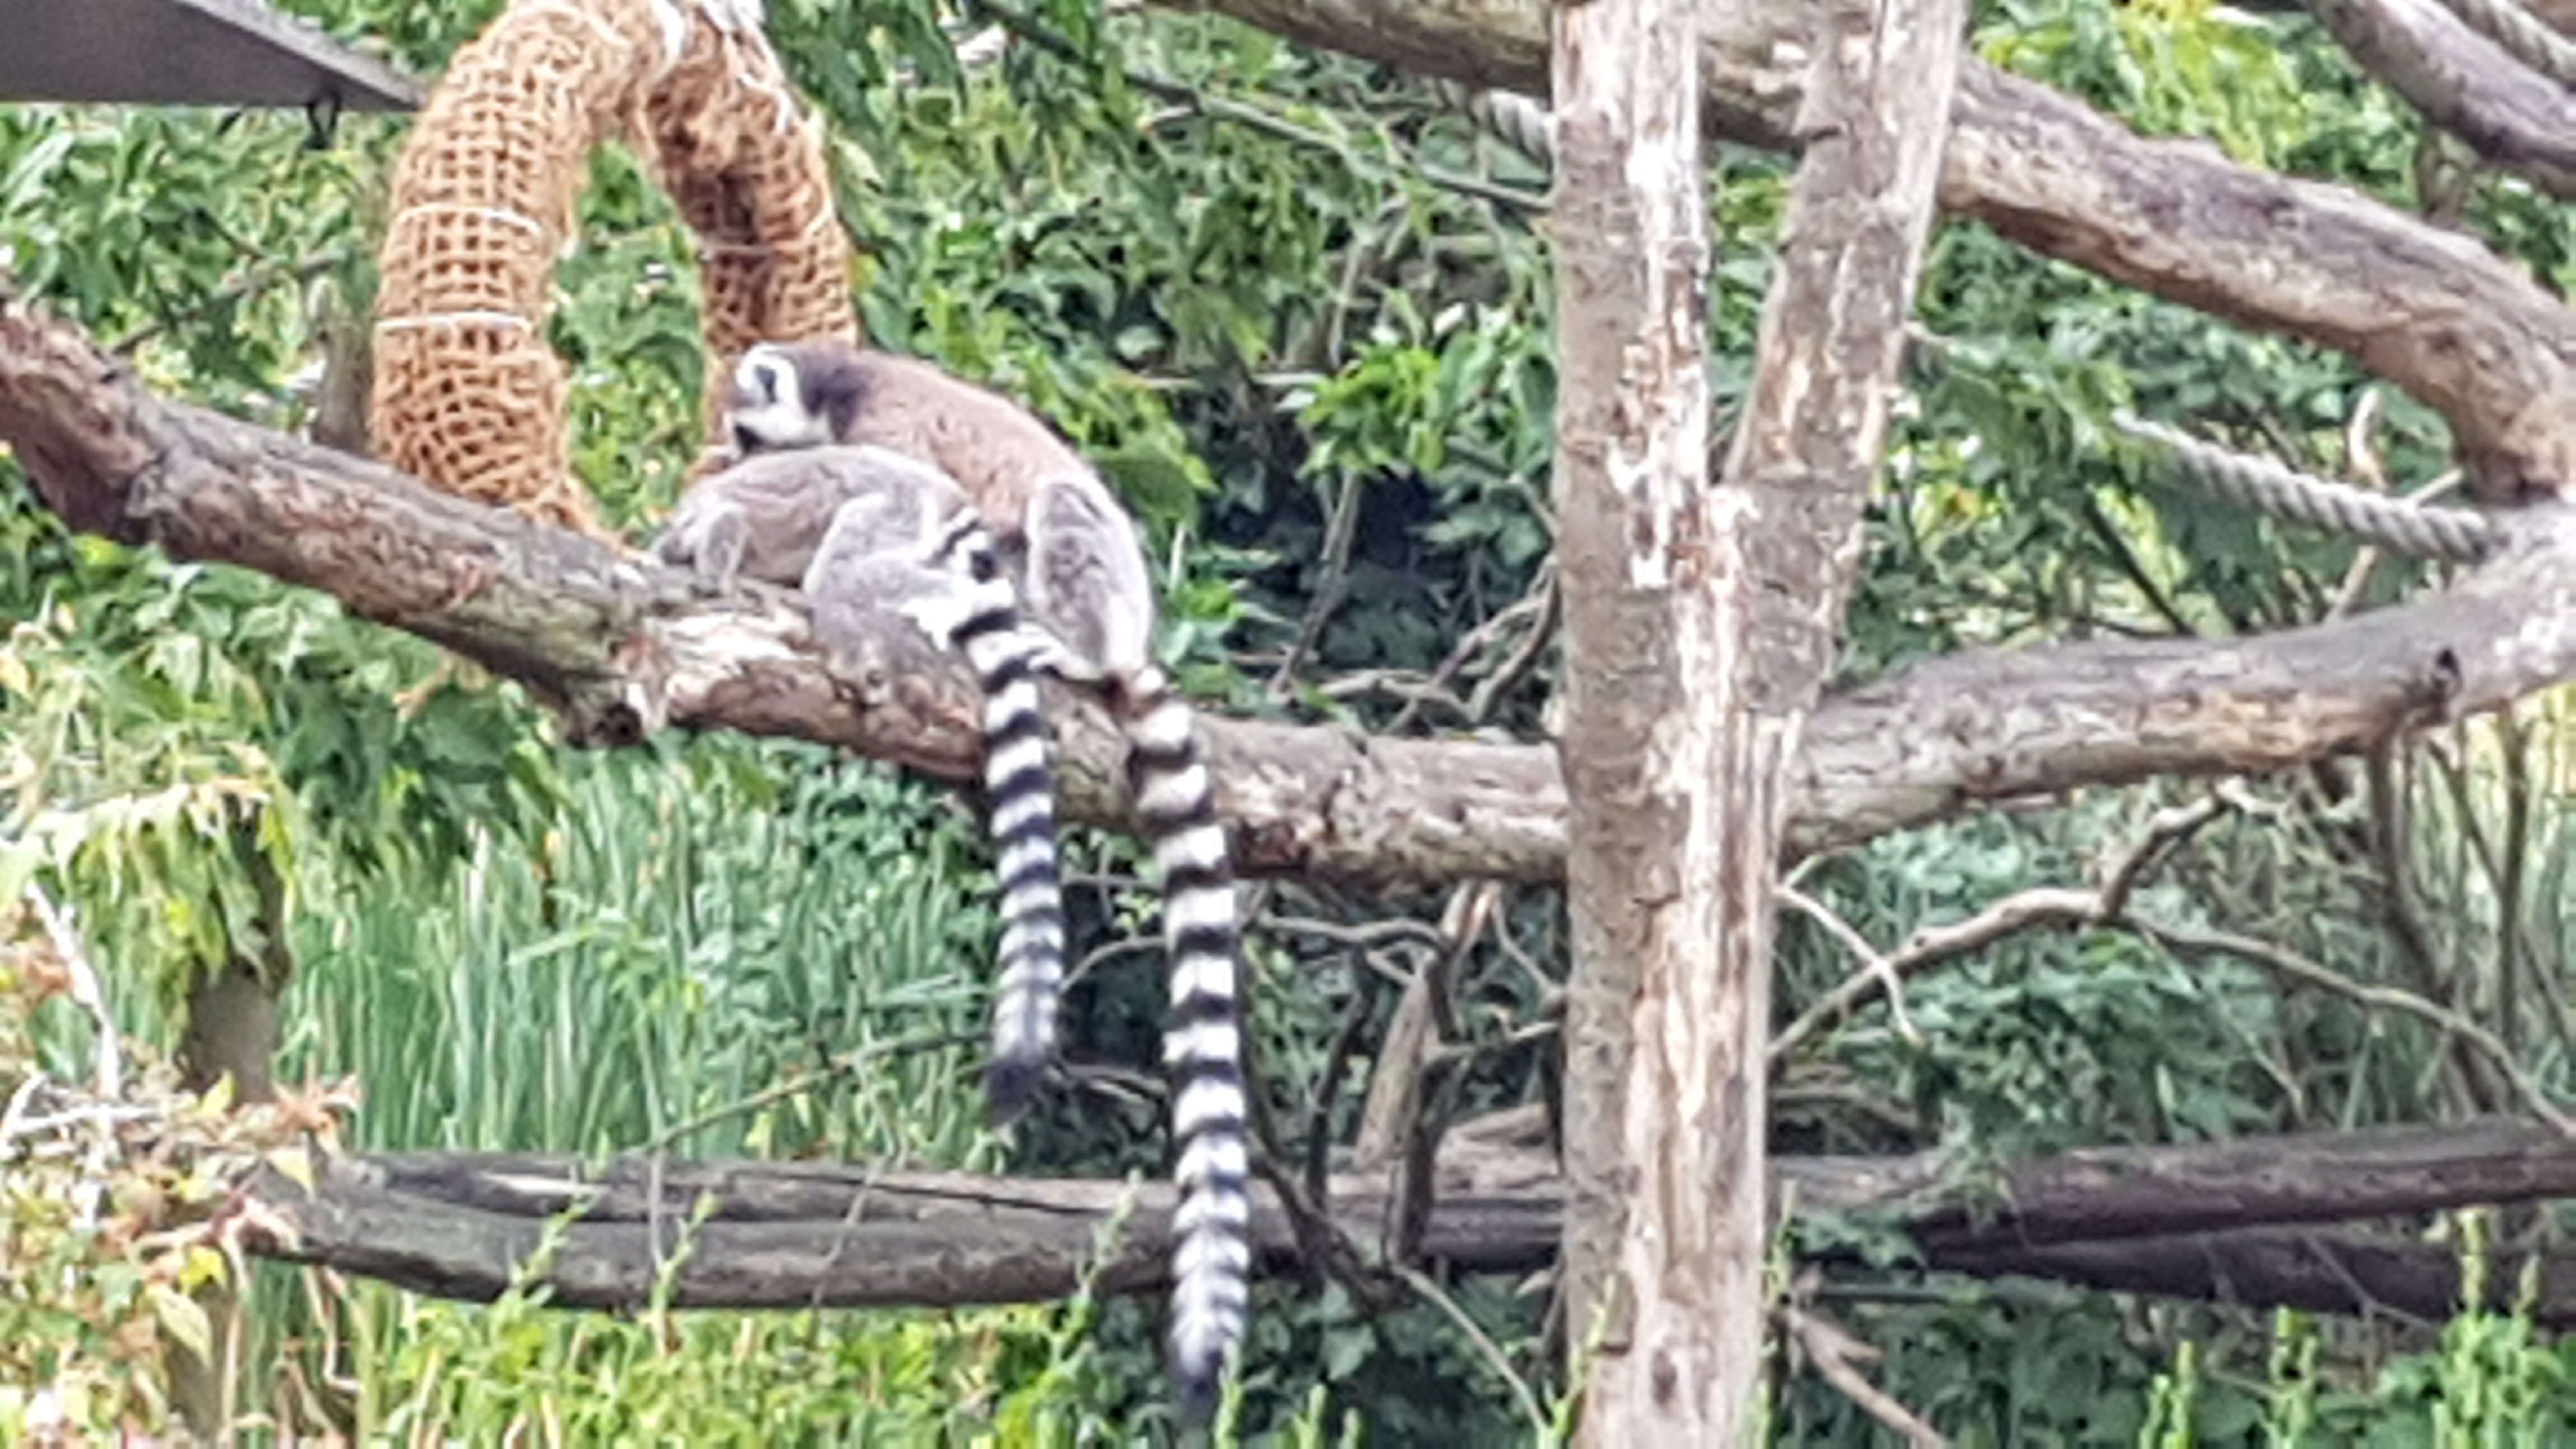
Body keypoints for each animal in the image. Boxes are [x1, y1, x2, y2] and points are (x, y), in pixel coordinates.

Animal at [719, 341, 1251, 1415]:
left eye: (747, 431)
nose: (728, 456)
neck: (843, 389)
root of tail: (1138, 637)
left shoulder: (891, 444)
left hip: (1097, 580)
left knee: (1052, 515)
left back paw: (1068, 650)